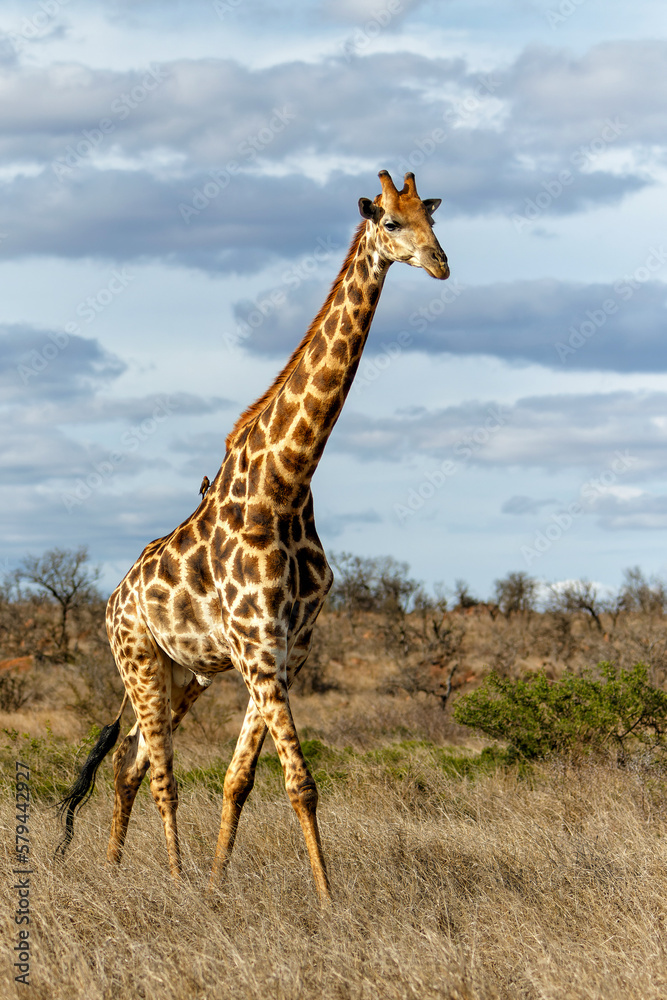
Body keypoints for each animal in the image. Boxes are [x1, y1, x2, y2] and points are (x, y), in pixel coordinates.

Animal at [57, 170, 449, 903]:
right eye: (388, 220)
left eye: (431, 217)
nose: (440, 263)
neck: (285, 486)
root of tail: (113, 599)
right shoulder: (260, 649)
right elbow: (301, 783)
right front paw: (326, 901)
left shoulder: (285, 651)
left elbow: (240, 780)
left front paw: (219, 883)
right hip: (139, 661)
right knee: (159, 774)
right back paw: (171, 876)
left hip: (185, 674)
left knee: (128, 763)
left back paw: (117, 868)